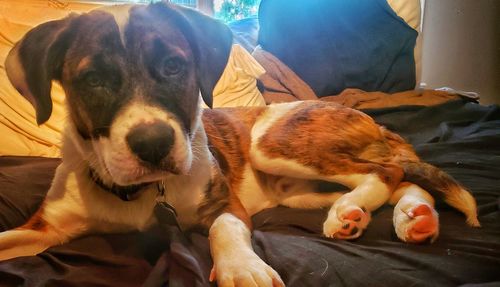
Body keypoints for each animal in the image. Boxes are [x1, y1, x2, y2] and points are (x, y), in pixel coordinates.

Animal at [0, 2, 480, 287]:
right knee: (401, 180)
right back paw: (408, 217)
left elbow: (223, 229)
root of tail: (366, 116)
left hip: (274, 143)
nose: (153, 145)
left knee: (387, 171)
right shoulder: (46, 228)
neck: (141, 193)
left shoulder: (225, 204)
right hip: (300, 191)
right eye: (93, 80)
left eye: (174, 66)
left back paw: (354, 212)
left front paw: (242, 268)